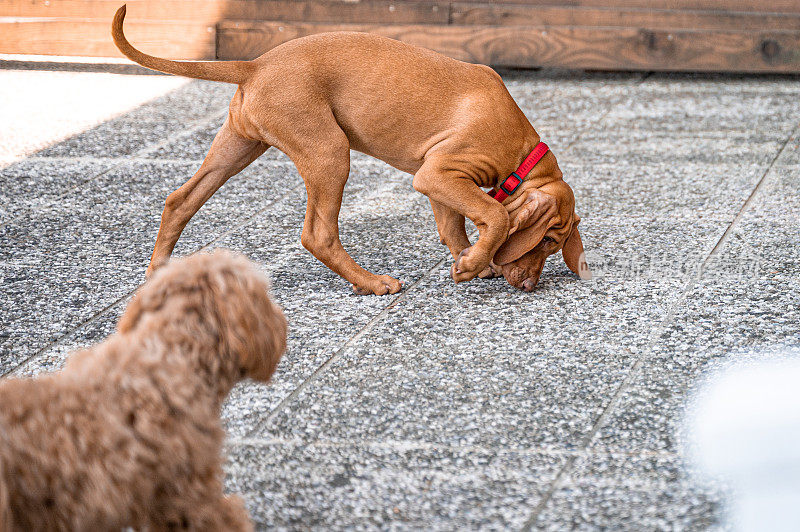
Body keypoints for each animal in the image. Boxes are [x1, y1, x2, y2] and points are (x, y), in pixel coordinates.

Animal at [111, 5, 588, 296]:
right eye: (548, 239)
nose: (528, 286)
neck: (522, 152)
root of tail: (256, 64)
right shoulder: (438, 173)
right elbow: (494, 214)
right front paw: (473, 263)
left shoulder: (440, 177)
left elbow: (453, 226)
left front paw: (471, 260)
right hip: (328, 152)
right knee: (317, 235)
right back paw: (372, 283)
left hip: (239, 145)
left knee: (180, 200)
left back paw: (157, 274)